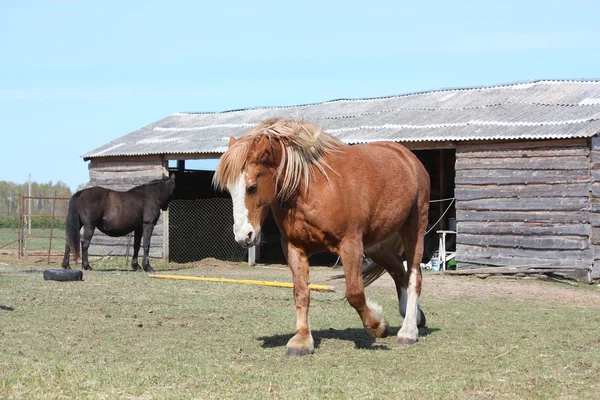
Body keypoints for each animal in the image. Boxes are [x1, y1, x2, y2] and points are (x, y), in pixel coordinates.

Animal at [213, 119, 428, 356]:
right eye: (229, 190)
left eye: (252, 188)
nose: (244, 236)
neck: (312, 188)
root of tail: (406, 156)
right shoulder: (294, 247)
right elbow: (301, 293)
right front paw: (301, 341)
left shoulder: (350, 244)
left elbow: (355, 293)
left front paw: (379, 326)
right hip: (377, 245)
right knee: (399, 270)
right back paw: (414, 317)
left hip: (414, 229)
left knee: (414, 276)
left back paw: (408, 332)